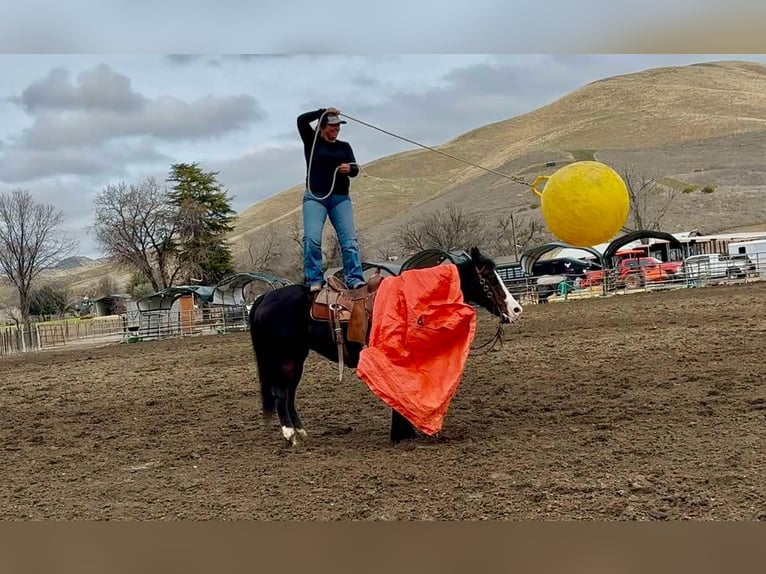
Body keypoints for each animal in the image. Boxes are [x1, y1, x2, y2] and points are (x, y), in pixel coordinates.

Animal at [247, 247, 523, 446]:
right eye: (489, 278)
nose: (516, 309)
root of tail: (265, 297)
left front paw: (407, 431)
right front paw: (401, 434)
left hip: (296, 358)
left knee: (290, 393)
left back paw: (301, 433)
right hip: (284, 357)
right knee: (281, 393)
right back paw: (290, 436)